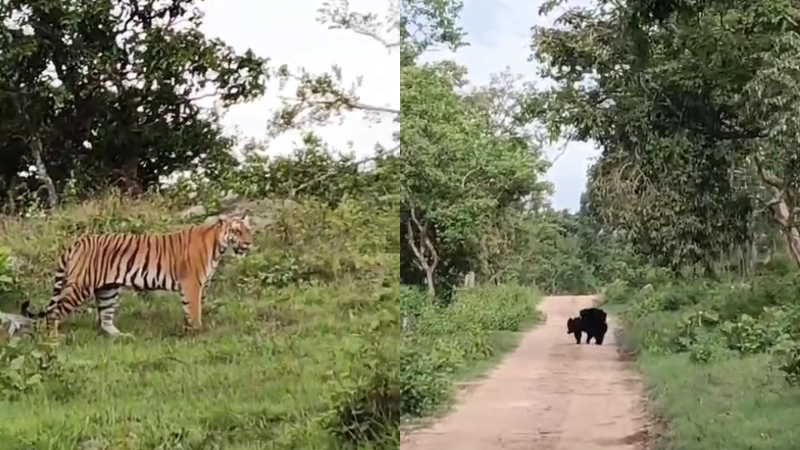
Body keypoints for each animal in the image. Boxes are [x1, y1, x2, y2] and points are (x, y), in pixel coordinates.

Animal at [20, 213, 253, 339]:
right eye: (236, 231)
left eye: (248, 230)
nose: (249, 243)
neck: (217, 245)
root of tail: (79, 241)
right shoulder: (191, 284)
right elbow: (194, 311)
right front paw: (198, 334)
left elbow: (188, 311)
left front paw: (188, 332)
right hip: (79, 286)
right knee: (53, 312)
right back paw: (54, 339)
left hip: (108, 290)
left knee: (105, 319)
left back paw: (123, 337)